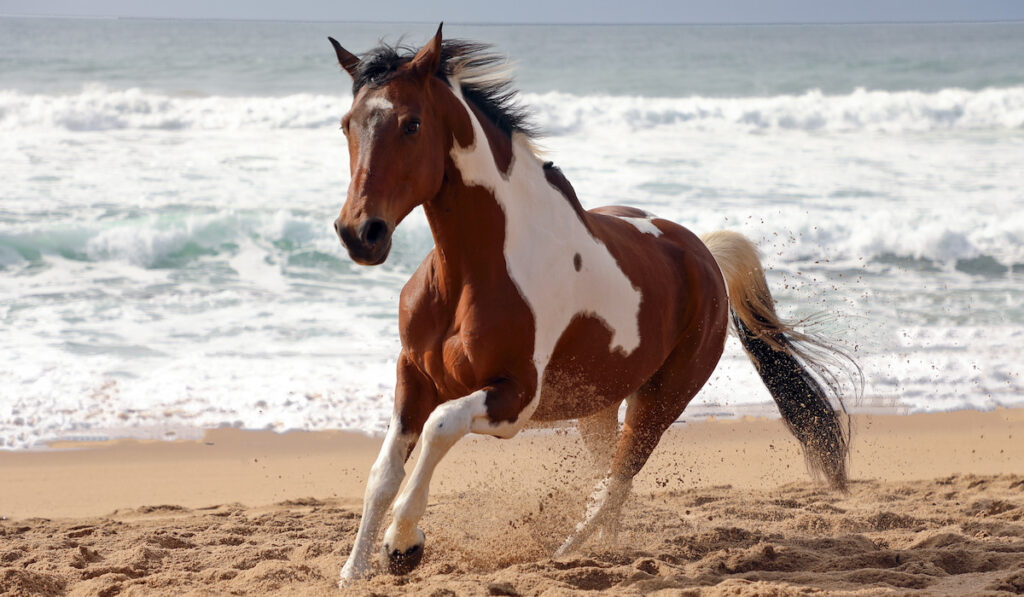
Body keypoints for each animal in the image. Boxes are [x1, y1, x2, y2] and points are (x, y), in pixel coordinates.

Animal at [327, 25, 856, 585]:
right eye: (347, 125)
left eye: (412, 123)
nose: (360, 233)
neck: (473, 271)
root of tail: (704, 255)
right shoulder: (413, 375)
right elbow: (384, 472)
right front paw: (353, 571)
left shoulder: (515, 398)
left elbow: (440, 427)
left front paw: (403, 545)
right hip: (597, 405)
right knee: (610, 481)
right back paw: (600, 553)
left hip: (660, 403)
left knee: (615, 483)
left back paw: (566, 553)